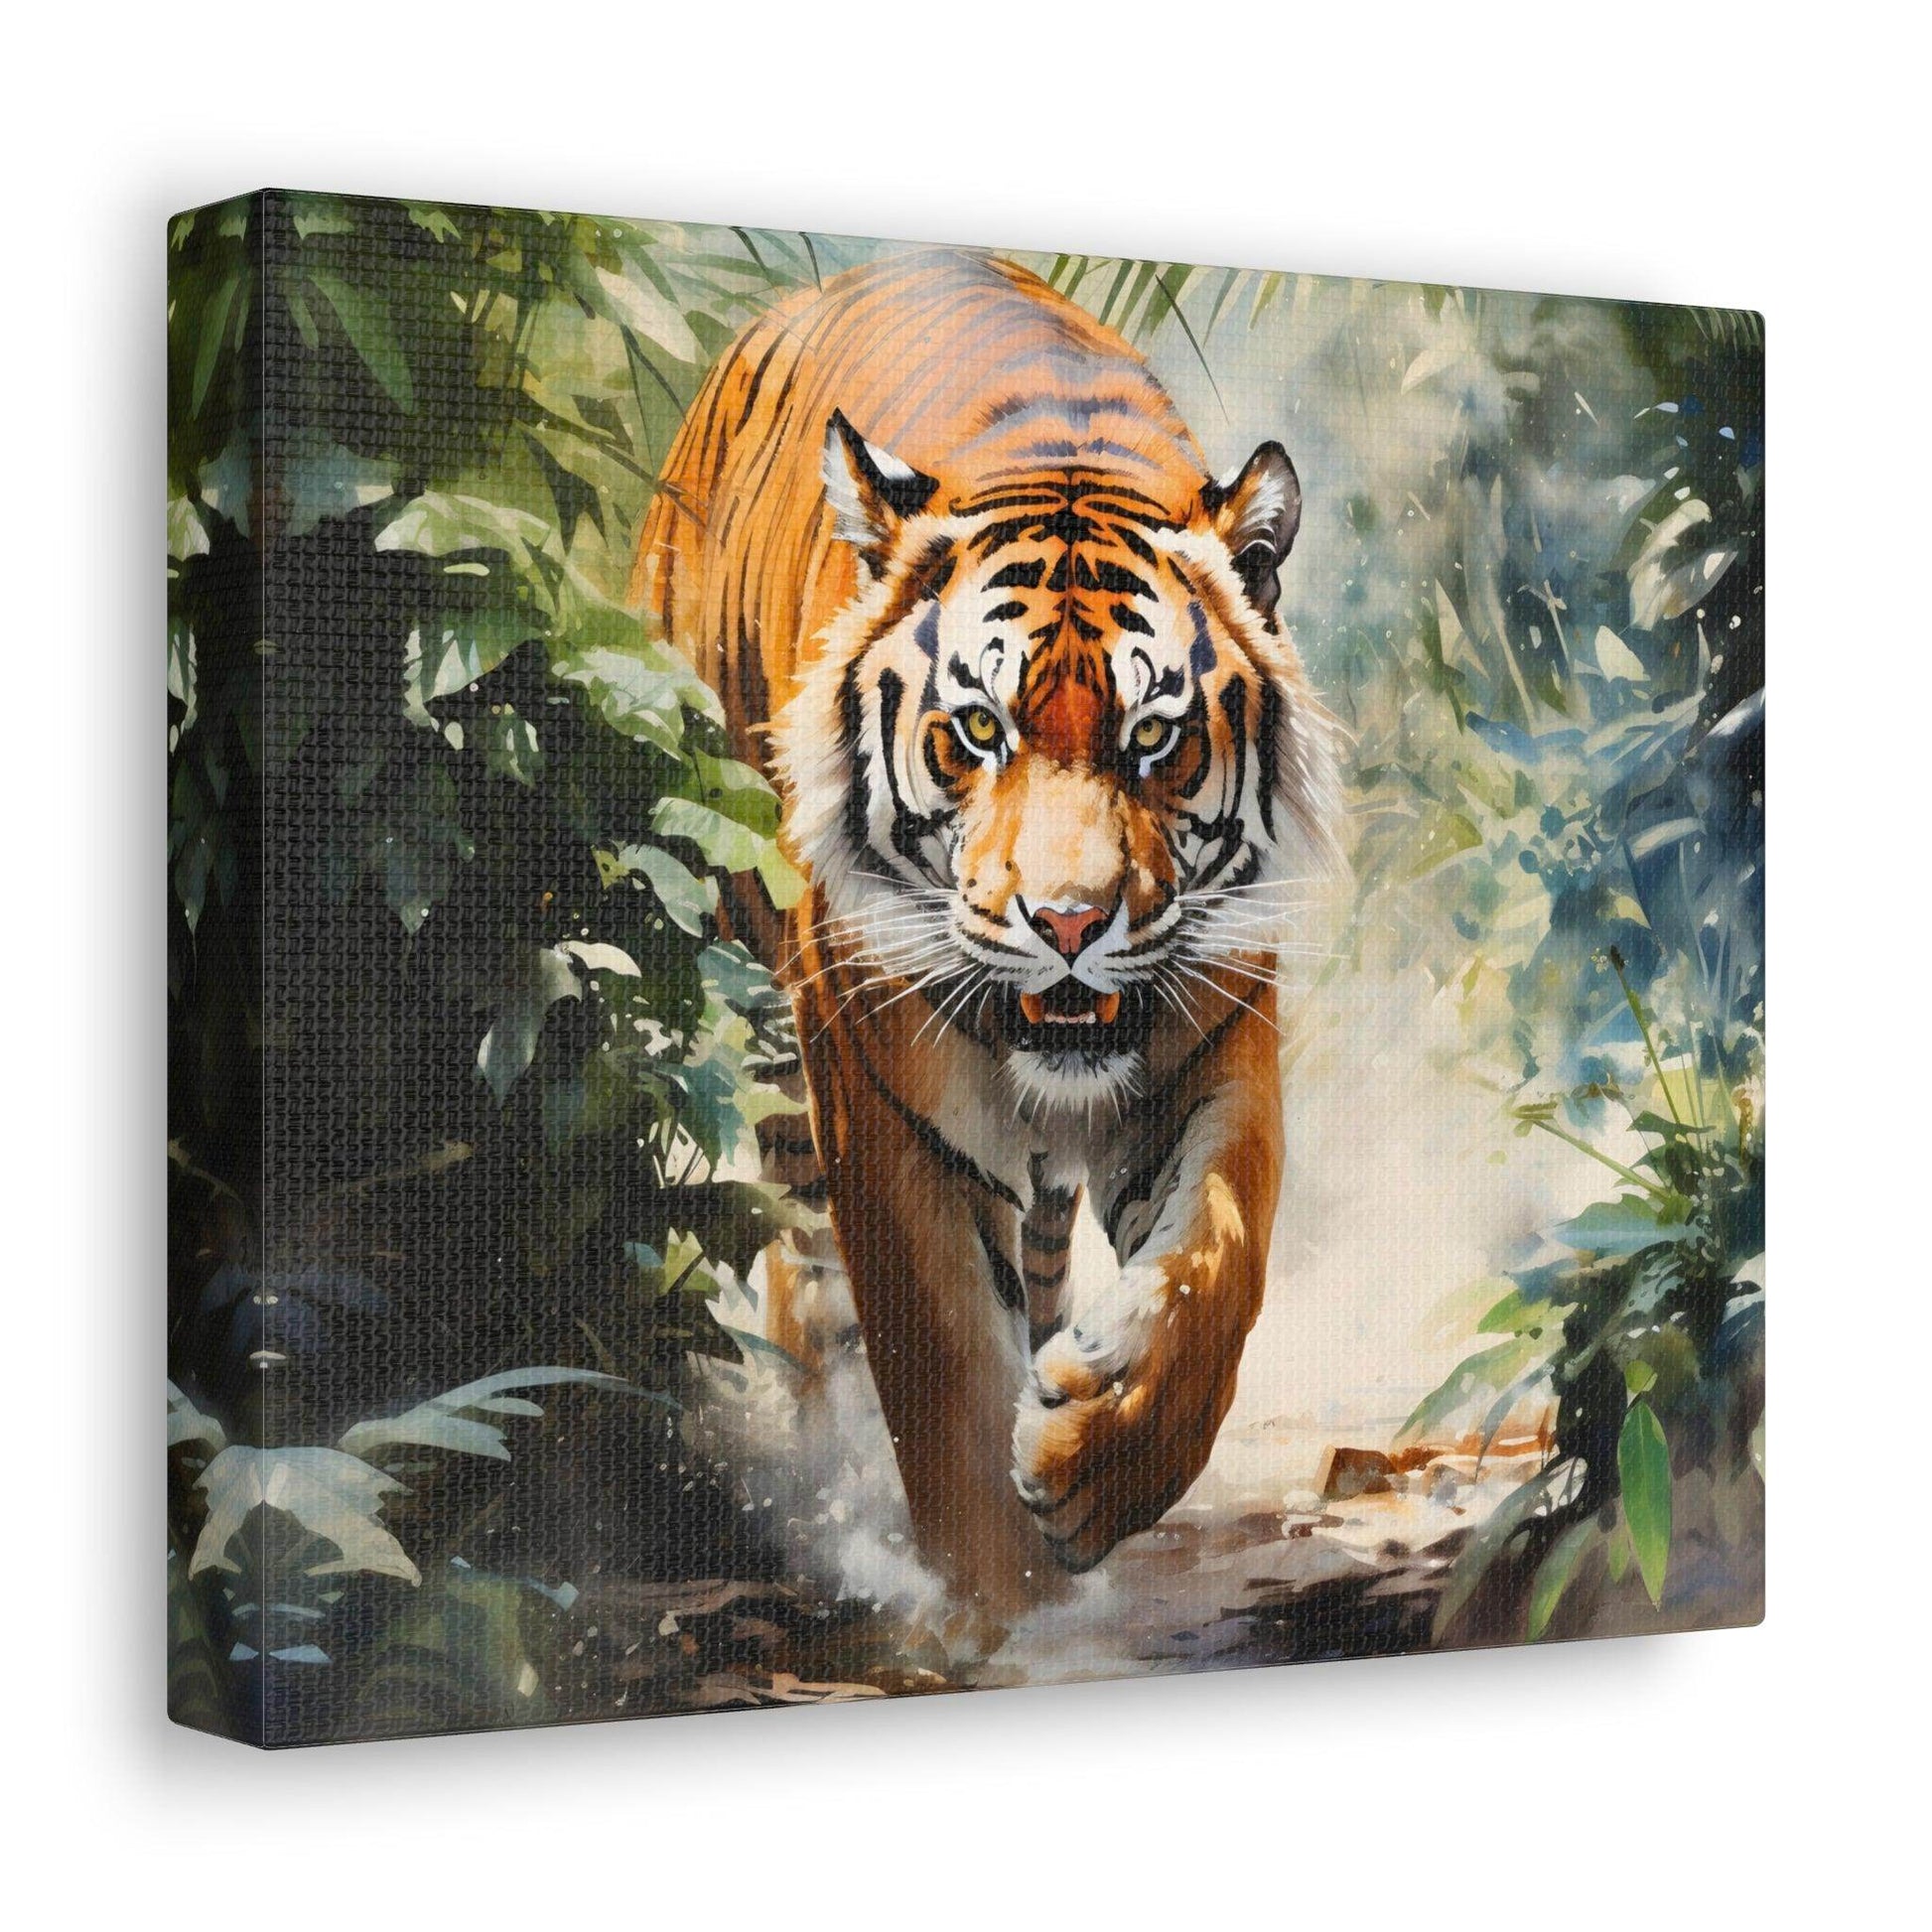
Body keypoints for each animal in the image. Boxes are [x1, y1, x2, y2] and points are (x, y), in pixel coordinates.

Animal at [633, 249, 1336, 1621]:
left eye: (1153, 737)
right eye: (976, 730)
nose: (1066, 921)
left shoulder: (1213, 1037)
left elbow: (1217, 1258)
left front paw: (1092, 1455)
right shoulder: (884, 1102)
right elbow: (942, 1370)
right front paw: (999, 1607)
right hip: (760, 1012)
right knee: (810, 1287)